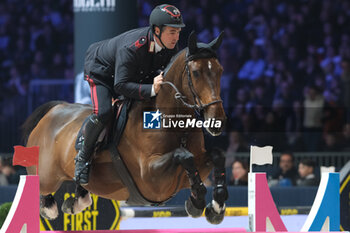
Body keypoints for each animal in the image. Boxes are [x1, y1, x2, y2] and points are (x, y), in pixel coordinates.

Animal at [23, 31, 228, 225]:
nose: (216, 121)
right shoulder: (151, 177)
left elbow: (217, 155)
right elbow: (184, 155)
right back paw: (52, 205)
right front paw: (197, 202)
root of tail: (53, 110)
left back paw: (75, 202)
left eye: (220, 70)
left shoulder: (194, 167)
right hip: (46, 179)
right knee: (42, 195)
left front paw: (216, 207)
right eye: (196, 72)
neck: (175, 126)